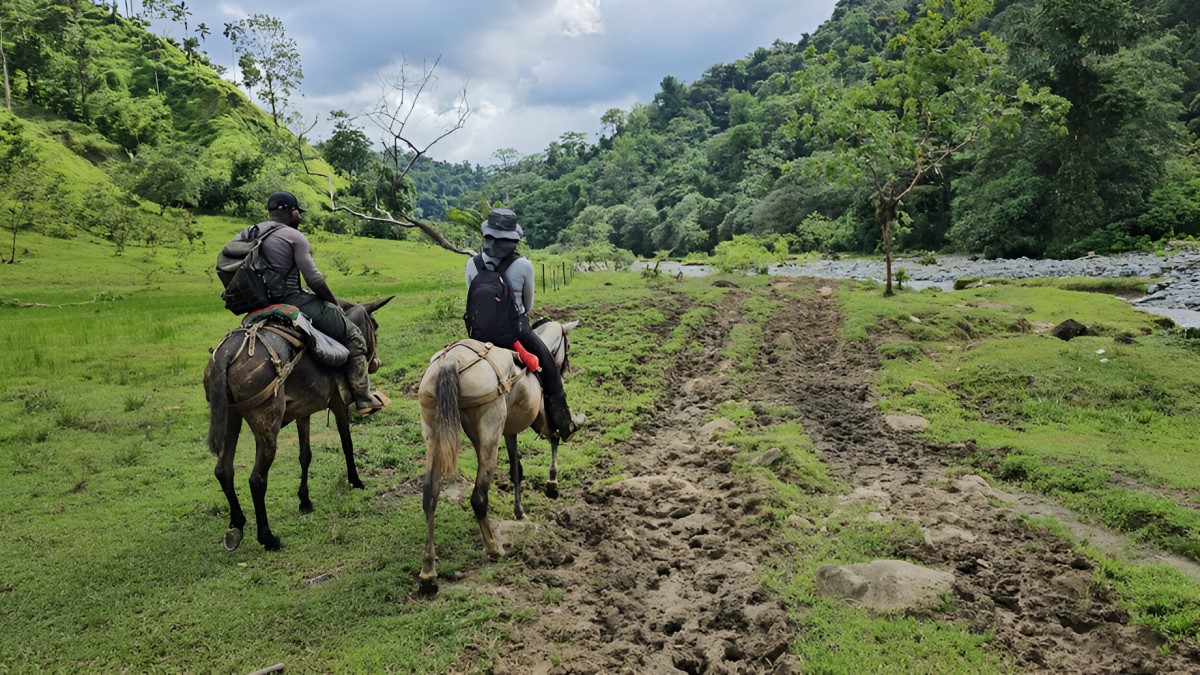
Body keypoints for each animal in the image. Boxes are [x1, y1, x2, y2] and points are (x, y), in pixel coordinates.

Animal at [205, 296, 393, 550]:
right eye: (375, 326)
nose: (376, 363)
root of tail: (227, 354)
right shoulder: (338, 403)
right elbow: (347, 444)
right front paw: (355, 481)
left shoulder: (303, 412)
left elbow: (305, 455)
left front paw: (305, 500)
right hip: (267, 425)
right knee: (256, 479)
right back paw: (267, 538)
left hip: (231, 418)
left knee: (223, 470)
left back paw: (237, 523)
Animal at [417, 317, 576, 590]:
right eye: (567, 345)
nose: (565, 369)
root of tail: (451, 362)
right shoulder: (541, 417)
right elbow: (553, 438)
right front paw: (552, 483)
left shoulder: (510, 429)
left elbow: (515, 467)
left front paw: (519, 509)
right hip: (490, 431)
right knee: (479, 497)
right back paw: (492, 547)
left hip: (433, 429)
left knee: (430, 495)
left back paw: (428, 571)